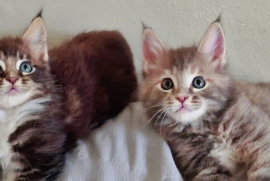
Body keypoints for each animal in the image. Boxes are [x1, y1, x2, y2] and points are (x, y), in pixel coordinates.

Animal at [139, 19, 270, 180]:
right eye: (167, 84)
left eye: (198, 82)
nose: (181, 97)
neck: (206, 127)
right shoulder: (205, 166)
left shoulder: (262, 142)